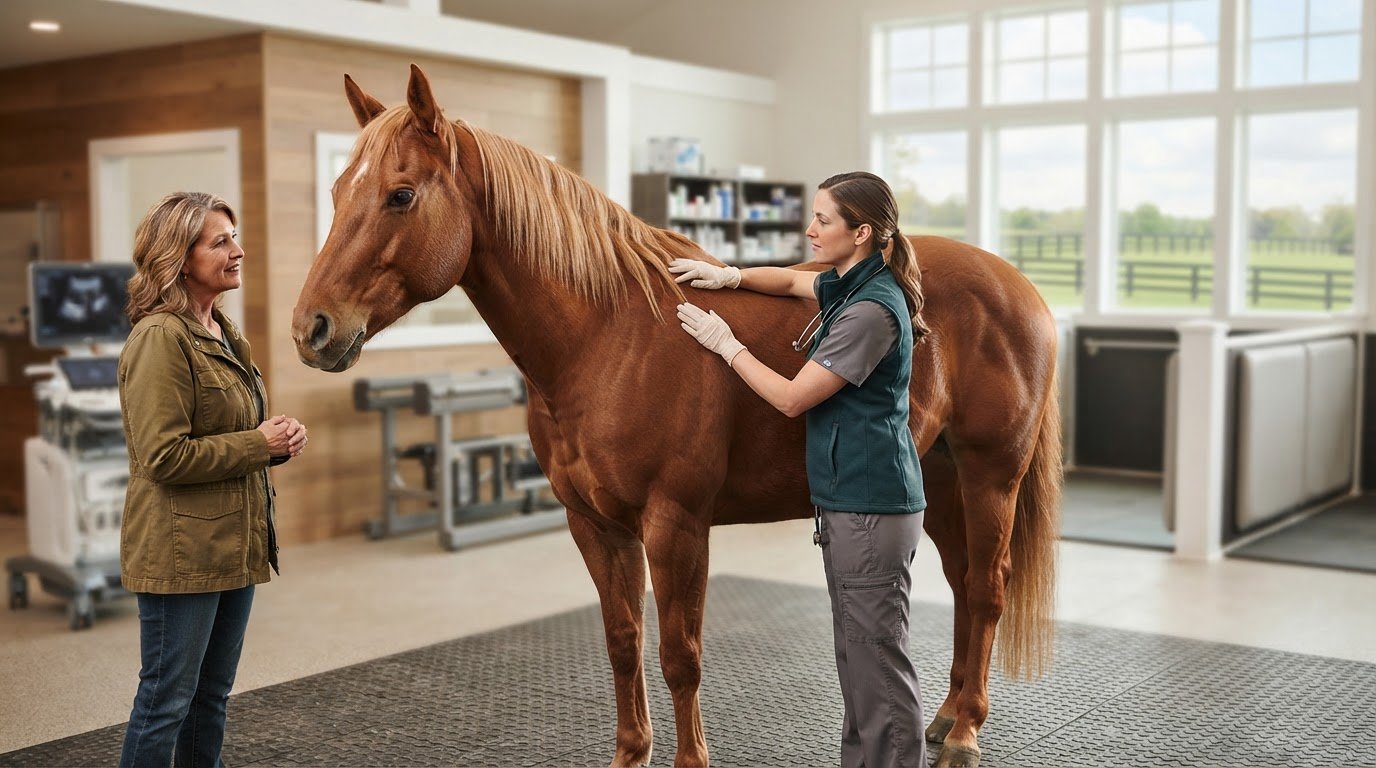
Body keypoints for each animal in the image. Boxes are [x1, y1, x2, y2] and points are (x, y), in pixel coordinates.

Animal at [292, 64, 1061, 768]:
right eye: (336, 191)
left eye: (400, 195)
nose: (312, 329)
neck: (606, 335)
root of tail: (1020, 286)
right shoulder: (593, 524)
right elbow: (622, 640)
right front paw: (630, 753)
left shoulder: (676, 524)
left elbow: (679, 654)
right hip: (938, 479)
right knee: (962, 581)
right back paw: (945, 714)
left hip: (990, 476)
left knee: (987, 589)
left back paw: (964, 733)